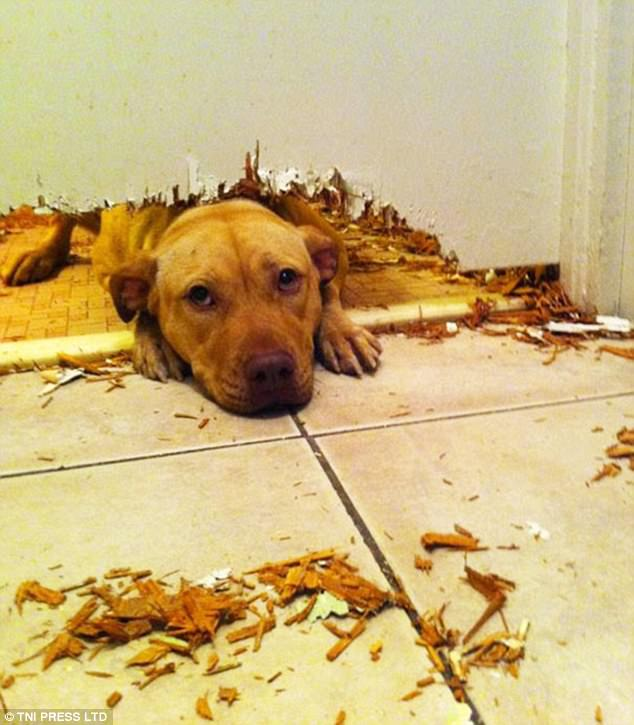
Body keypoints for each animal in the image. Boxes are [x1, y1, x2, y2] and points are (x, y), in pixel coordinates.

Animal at [1, 197, 380, 412]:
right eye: (199, 295)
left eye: (287, 278)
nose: (272, 370)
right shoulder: (110, 269)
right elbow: (139, 302)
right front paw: (154, 340)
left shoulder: (333, 246)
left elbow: (328, 289)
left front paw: (342, 334)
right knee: (59, 219)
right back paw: (41, 253)